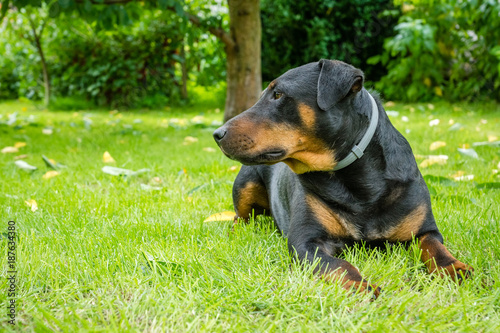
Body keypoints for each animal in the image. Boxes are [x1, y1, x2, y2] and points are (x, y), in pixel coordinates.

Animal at [212, 59, 472, 296]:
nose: (217, 134)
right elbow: (338, 265)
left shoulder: (423, 230)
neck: (361, 182)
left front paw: (455, 268)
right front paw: (360, 286)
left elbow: (435, 248)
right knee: (240, 218)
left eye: (277, 94)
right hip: (245, 183)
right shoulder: (306, 242)